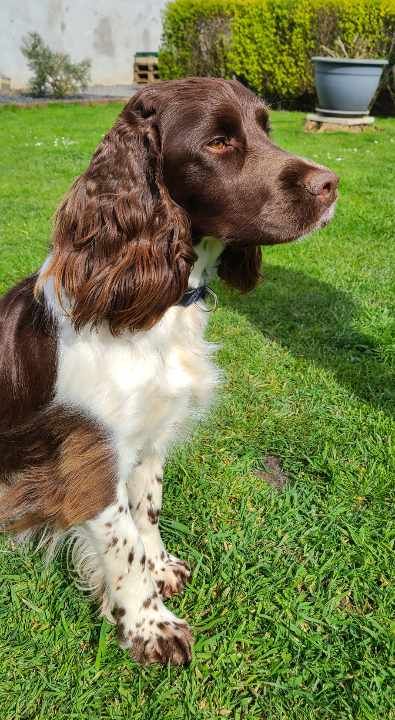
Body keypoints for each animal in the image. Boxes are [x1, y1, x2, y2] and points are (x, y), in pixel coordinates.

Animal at [0, 77, 340, 664]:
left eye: (266, 129)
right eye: (218, 143)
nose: (331, 185)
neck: (158, 310)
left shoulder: (151, 436)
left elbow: (147, 513)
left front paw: (161, 573)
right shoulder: (90, 458)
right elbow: (123, 545)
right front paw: (150, 628)